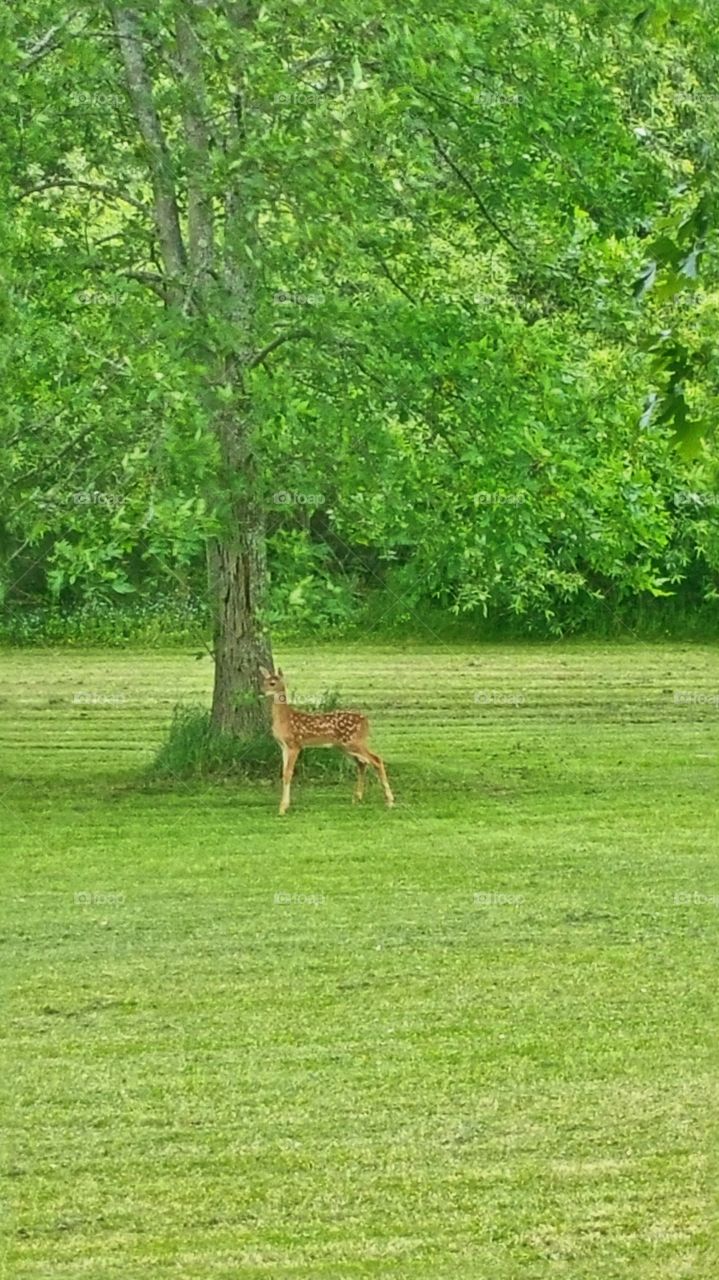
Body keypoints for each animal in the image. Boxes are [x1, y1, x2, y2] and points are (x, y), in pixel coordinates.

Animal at [259, 666, 394, 816]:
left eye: (272, 683)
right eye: (264, 681)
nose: (261, 691)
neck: (285, 719)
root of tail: (366, 721)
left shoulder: (295, 744)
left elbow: (288, 773)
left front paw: (283, 808)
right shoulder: (283, 746)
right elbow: (283, 773)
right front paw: (284, 805)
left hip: (354, 742)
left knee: (376, 759)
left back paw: (389, 801)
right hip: (344, 746)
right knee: (362, 763)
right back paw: (357, 798)